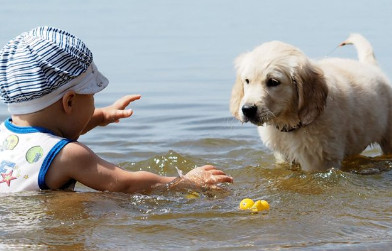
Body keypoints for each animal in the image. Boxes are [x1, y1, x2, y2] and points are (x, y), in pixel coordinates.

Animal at [230, 34, 392, 173]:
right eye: (247, 81)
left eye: (273, 82)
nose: (247, 109)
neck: (291, 124)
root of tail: (372, 67)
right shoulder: (282, 156)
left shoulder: (318, 161)